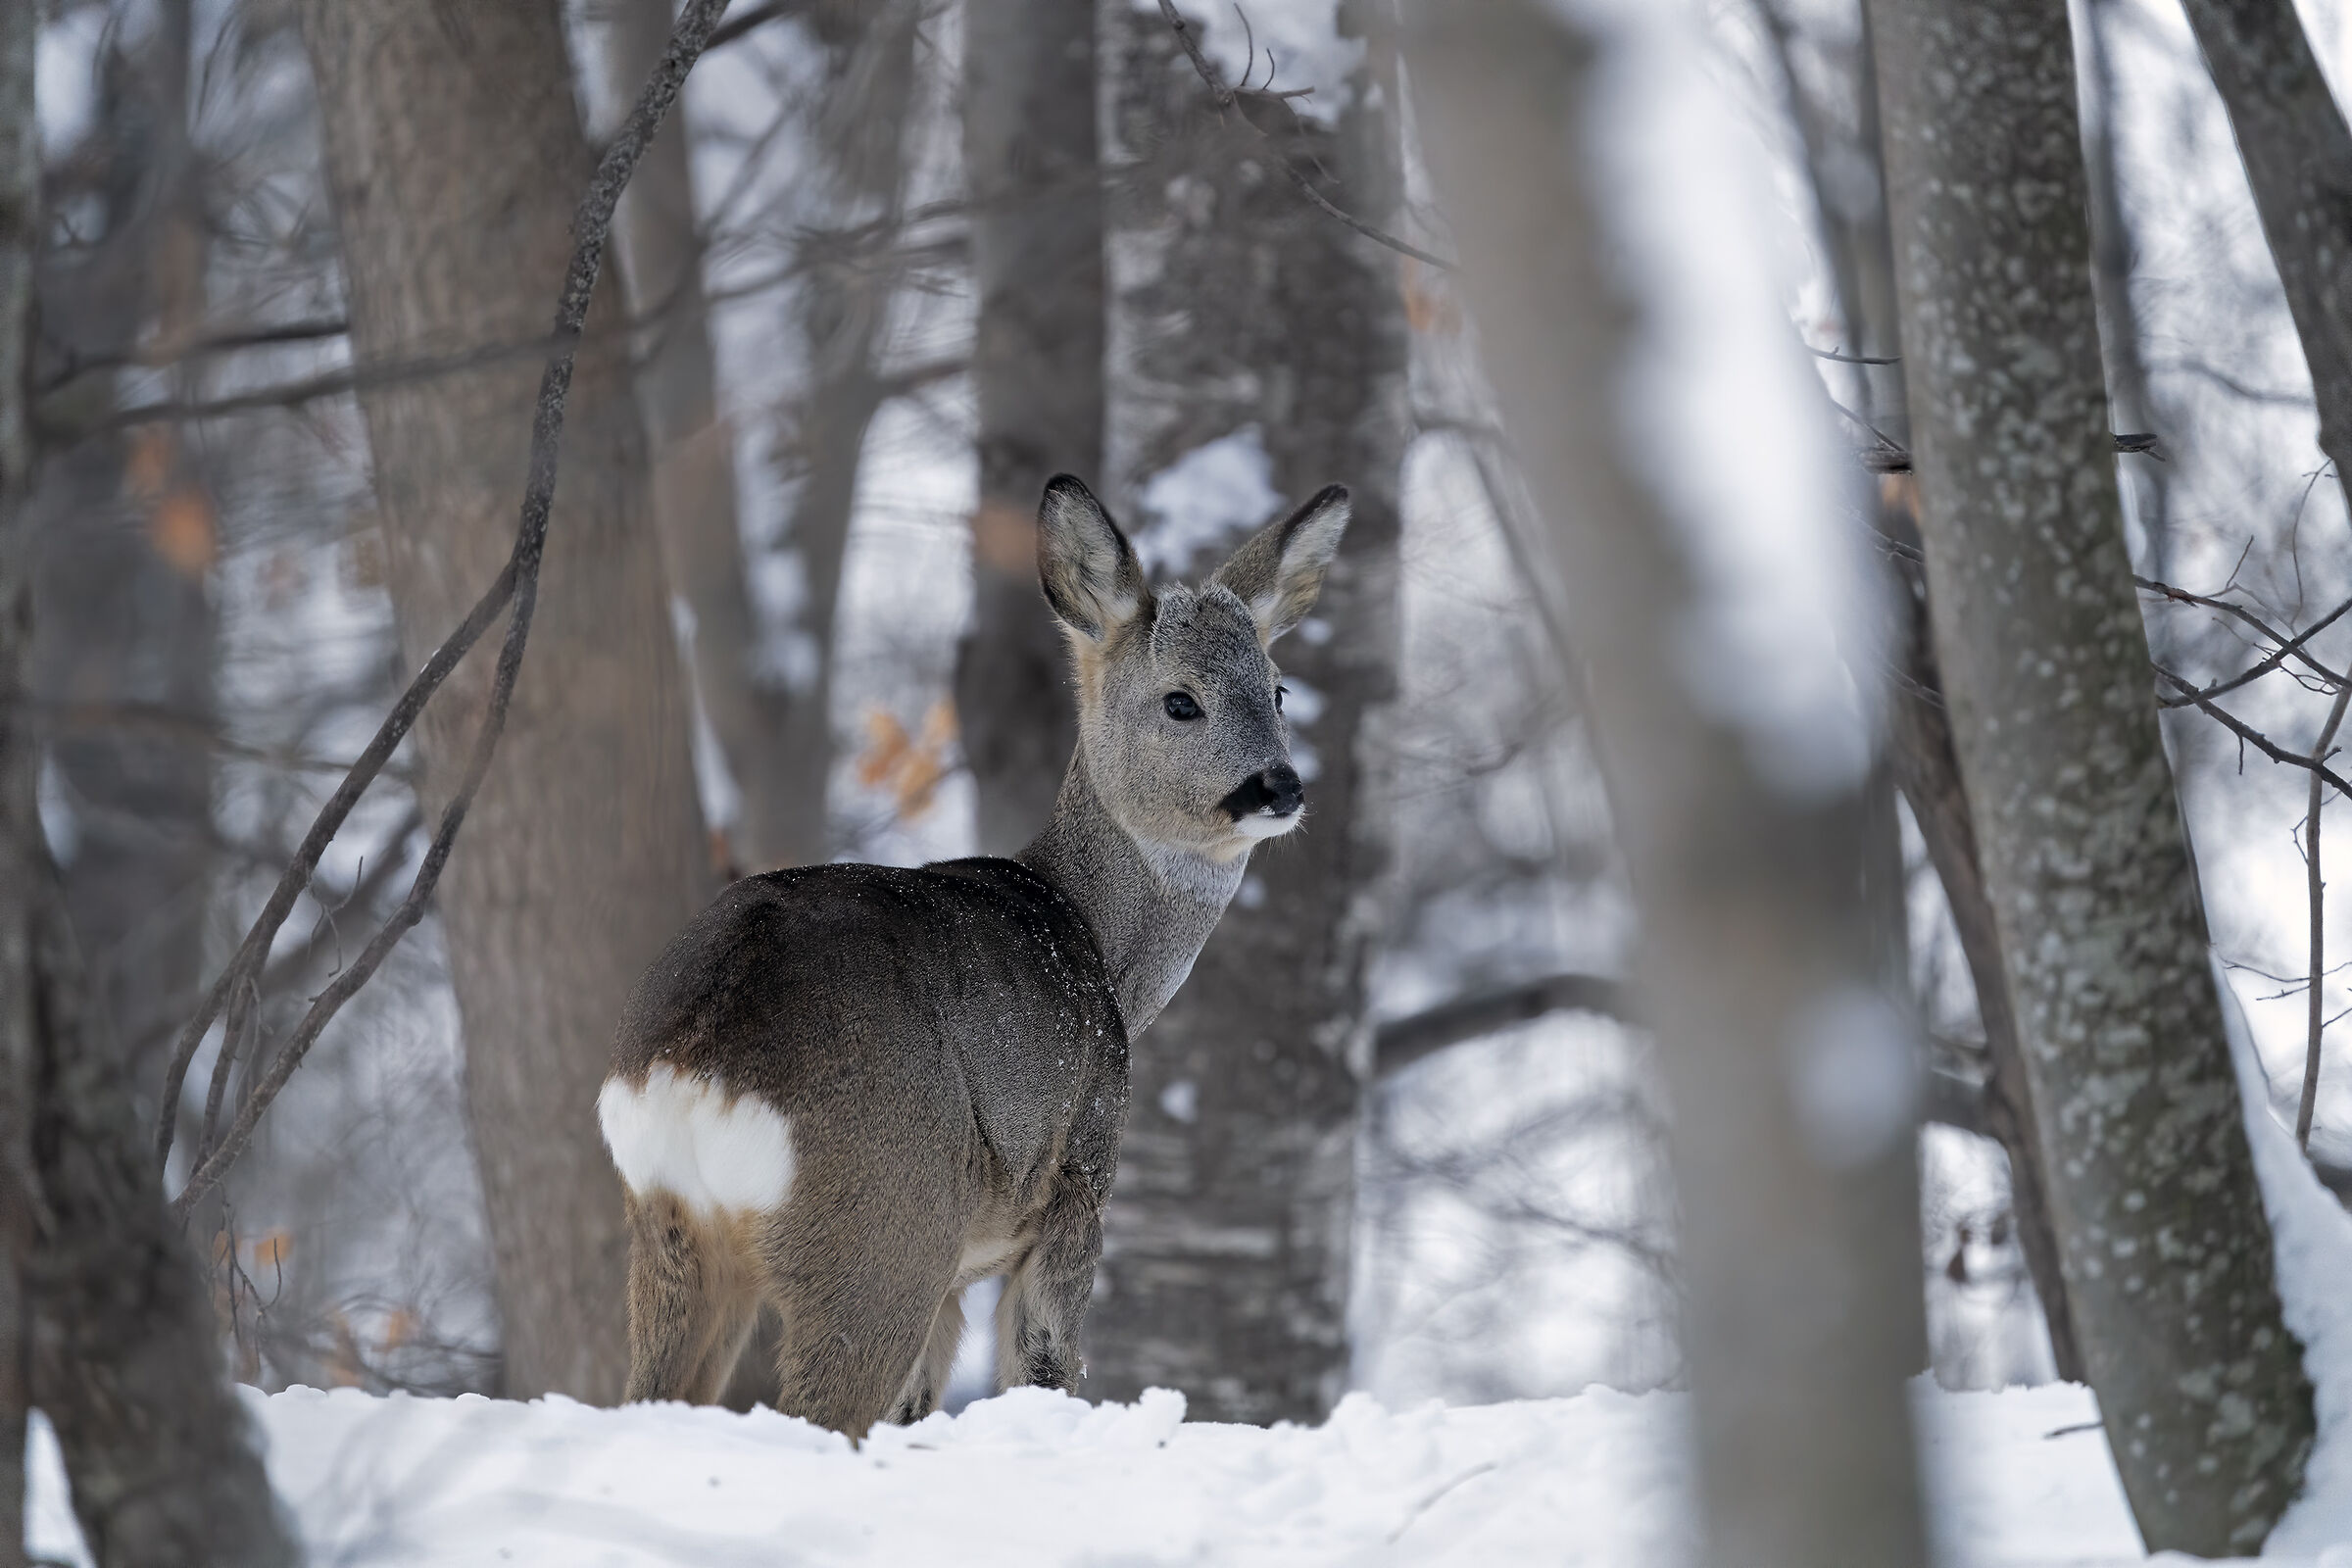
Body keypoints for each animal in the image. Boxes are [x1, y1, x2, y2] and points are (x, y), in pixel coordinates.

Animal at [596, 473, 1349, 1437]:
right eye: (1182, 699)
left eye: (1280, 691)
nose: (1278, 787)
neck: (1099, 946)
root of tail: (694, 1060)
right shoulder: (1079, 1172)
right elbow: (1043, 1367)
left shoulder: (959, 1275)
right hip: (879, 1228)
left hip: (676, 1240)